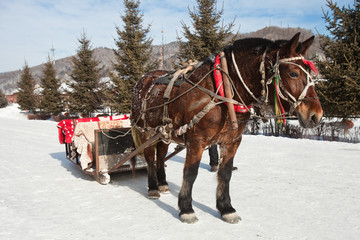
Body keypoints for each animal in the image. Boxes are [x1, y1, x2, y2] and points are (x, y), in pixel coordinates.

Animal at [131, 32, 324, 224]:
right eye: (293, 73)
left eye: (310, 74)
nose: (316, 115)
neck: (223, 89)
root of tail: (142, 80)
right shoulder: (196, 141)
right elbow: (190, 173)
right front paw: (186, 209)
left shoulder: (232, 141)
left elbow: (225, 173)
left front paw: (226, 208)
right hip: (145, 131)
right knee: (150, 158)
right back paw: (153, 188)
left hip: (164, 133)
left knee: (161, 156)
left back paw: (162, 184)